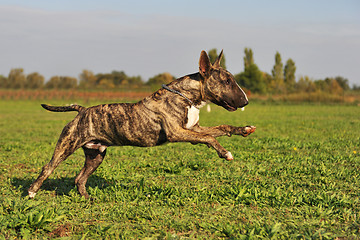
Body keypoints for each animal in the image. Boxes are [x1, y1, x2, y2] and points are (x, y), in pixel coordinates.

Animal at [29, 50, 258, 199]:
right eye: (226, 81)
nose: (246, 101)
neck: (186, 97)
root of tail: (82, 110)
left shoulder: (194, 130)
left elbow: (221, 129)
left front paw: (244, 130)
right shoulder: (177, 132)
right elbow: (210, 137)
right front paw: (225, 153)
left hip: (96, 155)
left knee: (79, 178)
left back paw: (87, 198)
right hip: (67, 145)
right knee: (48, 167)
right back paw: (31, 192)